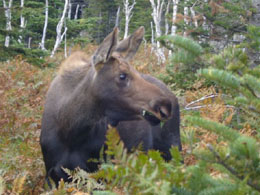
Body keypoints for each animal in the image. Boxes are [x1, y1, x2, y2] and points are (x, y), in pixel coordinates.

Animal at [40, 25, 181, 186]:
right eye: (122, 75)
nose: (165, 106)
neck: (71, 130)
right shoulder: (52, 176)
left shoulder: (98, 174)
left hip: (172, 149)